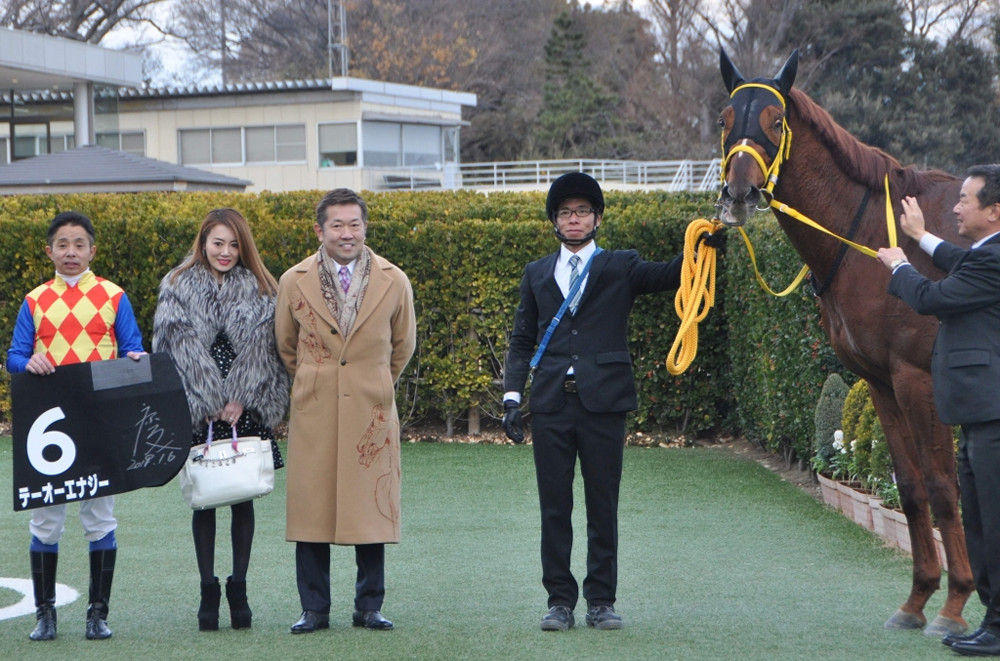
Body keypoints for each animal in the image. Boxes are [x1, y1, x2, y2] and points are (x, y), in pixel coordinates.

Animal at [715, 49, 974, 637]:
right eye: (724, 118)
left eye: (776, 121)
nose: (739, 193)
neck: (871, 235)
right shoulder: (880, 381)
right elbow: (911, 486)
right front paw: (917, 599)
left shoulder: (919, 380)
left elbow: (943, 488)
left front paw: (953, 605)